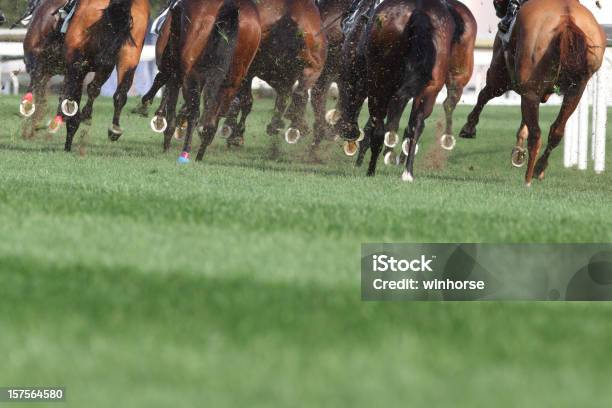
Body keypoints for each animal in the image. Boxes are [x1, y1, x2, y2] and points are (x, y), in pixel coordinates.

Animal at [328, 0, 456, 180]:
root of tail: (420, 9)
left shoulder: (354, 74)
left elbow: (352, 101)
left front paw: (348, 131)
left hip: (379, 86)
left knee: (378, 130)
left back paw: (371, 170)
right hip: (430, 88)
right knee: (415, 126)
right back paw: (407, 172)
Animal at [462, 0, 604, 183]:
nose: (498, 9)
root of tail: (567, 20)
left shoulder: (501, 75)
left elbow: (484, 95)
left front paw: (469, 127)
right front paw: (519, 152)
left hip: (529, 88)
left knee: (536, 134)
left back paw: (528, 178)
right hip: (575, 91)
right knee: (556, 131)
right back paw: (538, 168)